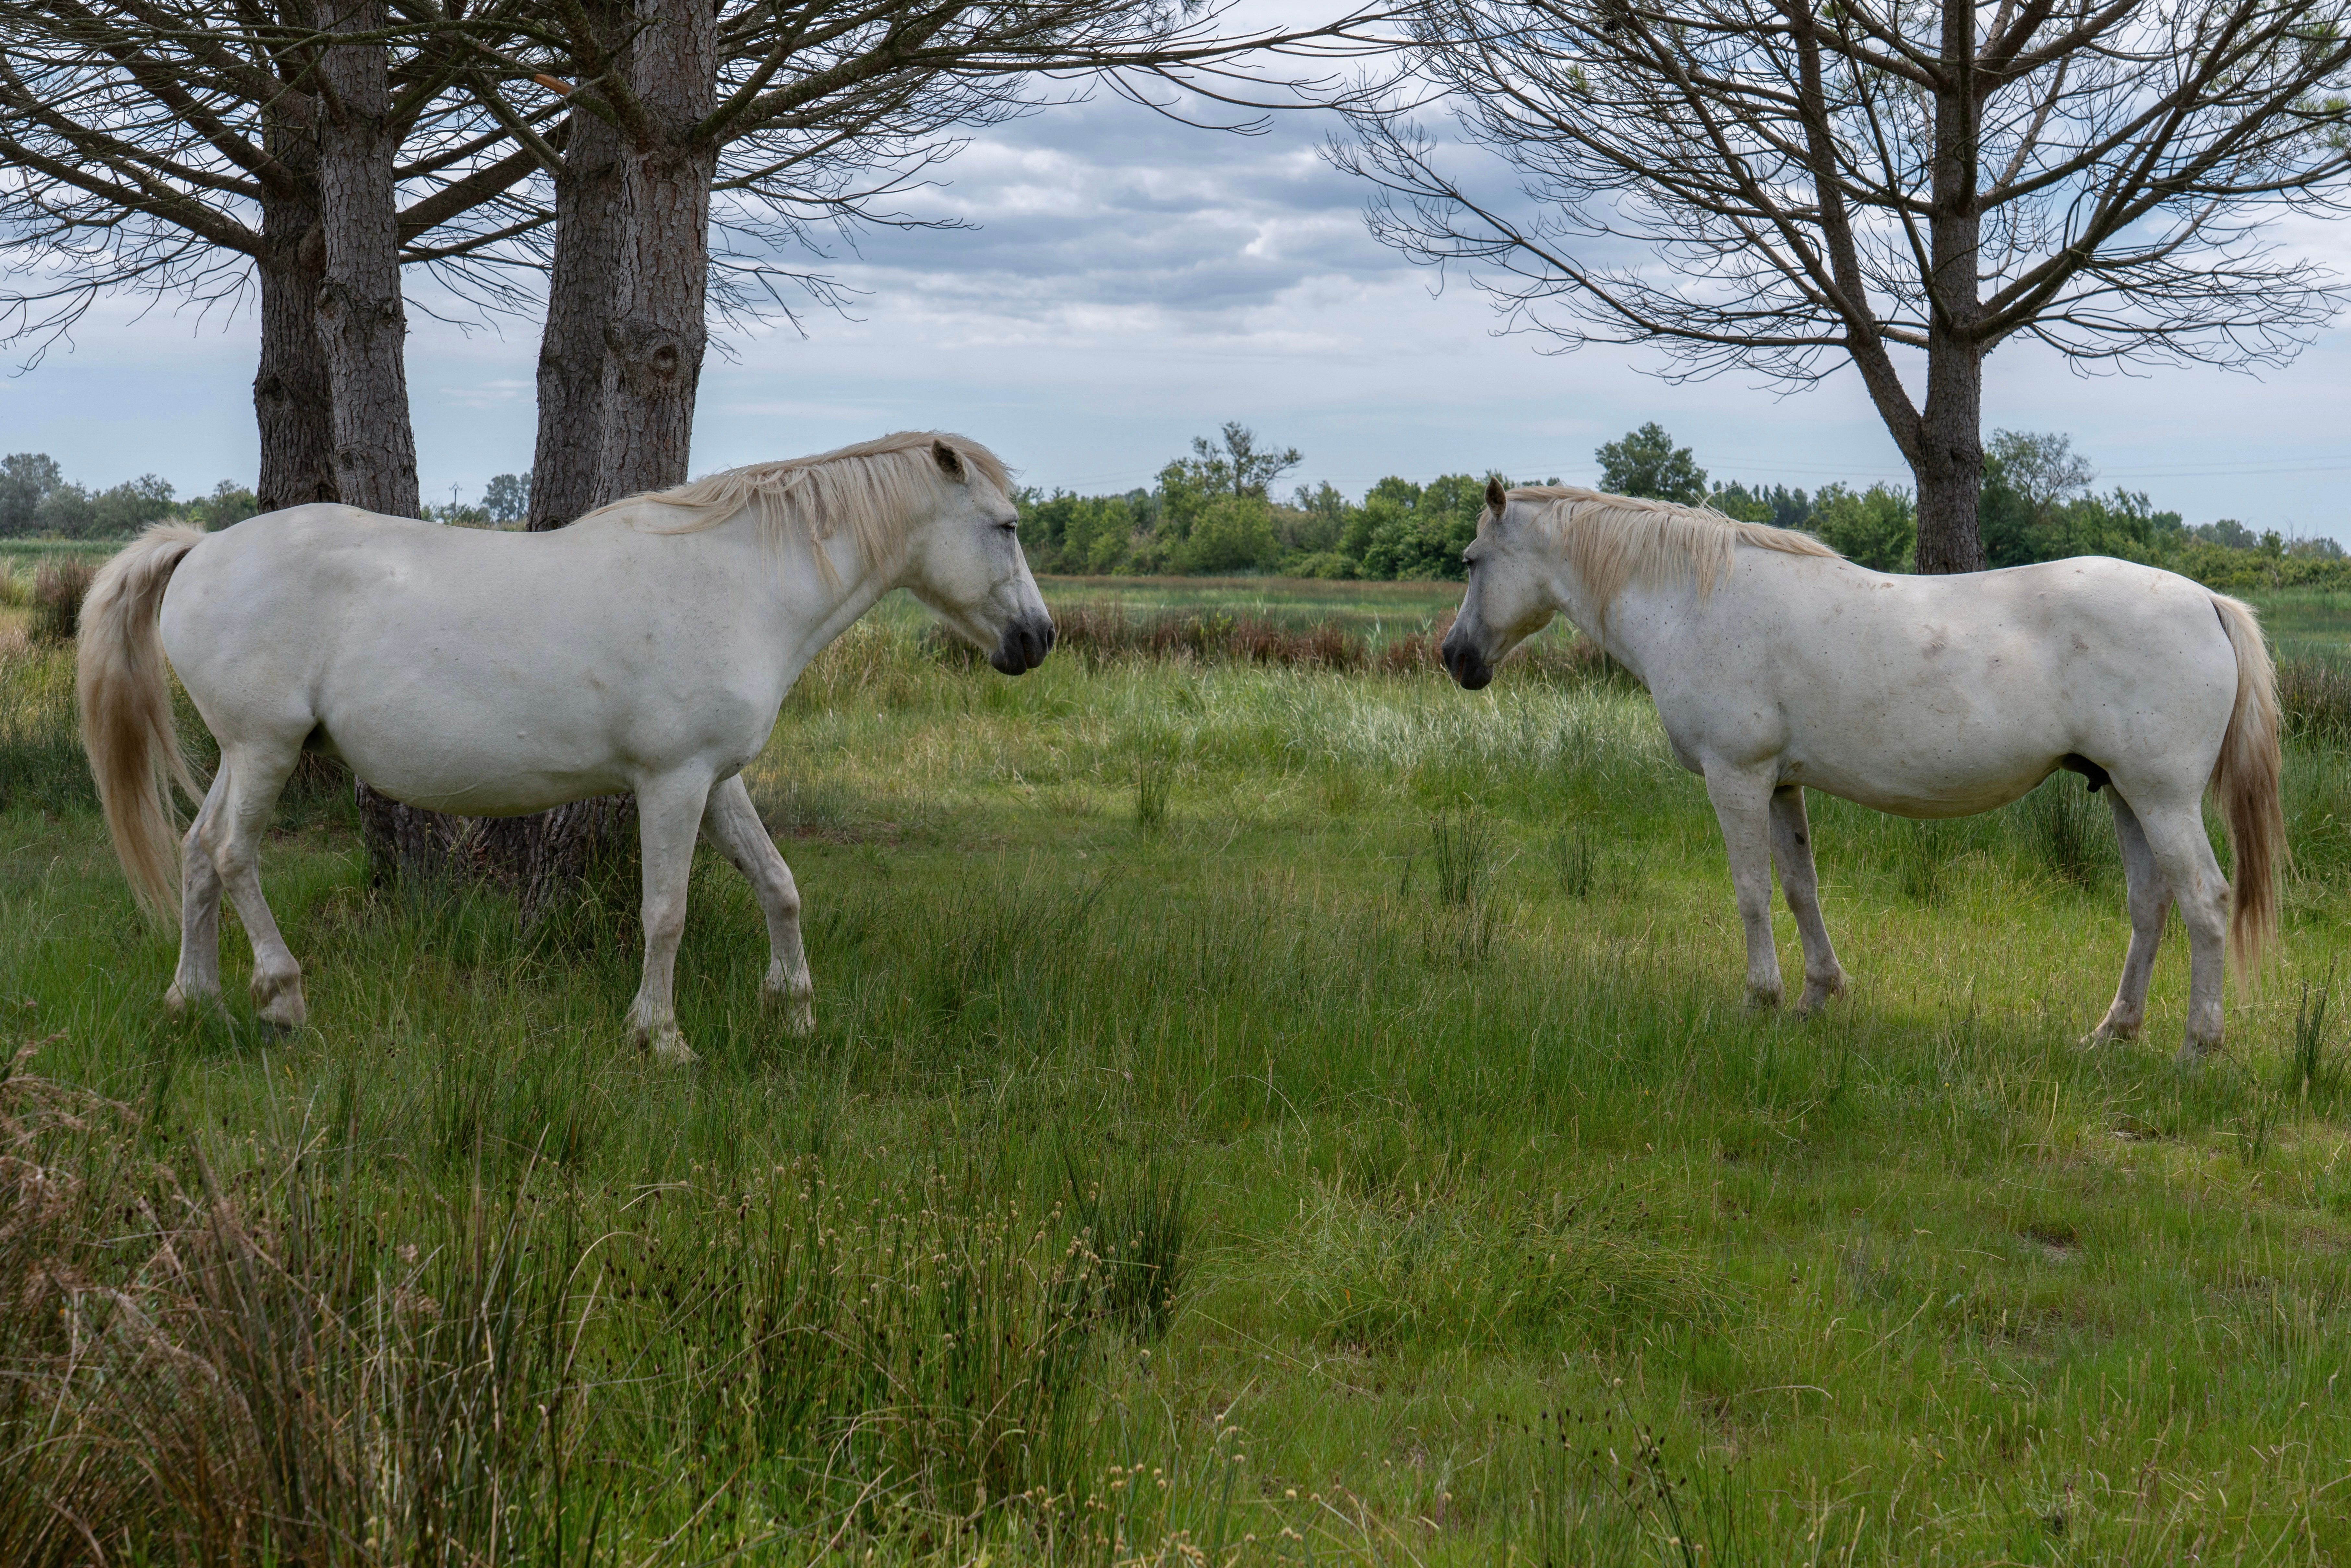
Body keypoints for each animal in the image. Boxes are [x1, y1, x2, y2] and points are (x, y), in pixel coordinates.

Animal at [78, 432, 1053, 1064]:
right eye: (1005, 526)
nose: (1038, 639)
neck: (737, 582)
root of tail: (202, 547)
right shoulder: (672, 782)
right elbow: (666, 912)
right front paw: (661, 1036)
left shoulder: (717, 779)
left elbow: (778, 883)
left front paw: (795, 1012)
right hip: (267, 748)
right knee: (233, 855)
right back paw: (281, 998)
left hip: (243, 753)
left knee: (197, 853)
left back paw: (194, 999)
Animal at [1439, 479, 2282, 1064]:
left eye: (1472, 562)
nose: (1454, 657)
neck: (1695, 601)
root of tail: (2206, 600)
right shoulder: (1780, 783)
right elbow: (1797, 887)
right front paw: (1818, 995)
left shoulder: (1735, 776)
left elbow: (1749, 892)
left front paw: (1759, 1000)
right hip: (2123, 795)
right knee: (2150, 905)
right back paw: (2112, 1032)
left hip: (2162, 799)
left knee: (2204, 901)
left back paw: (2195, 1046)